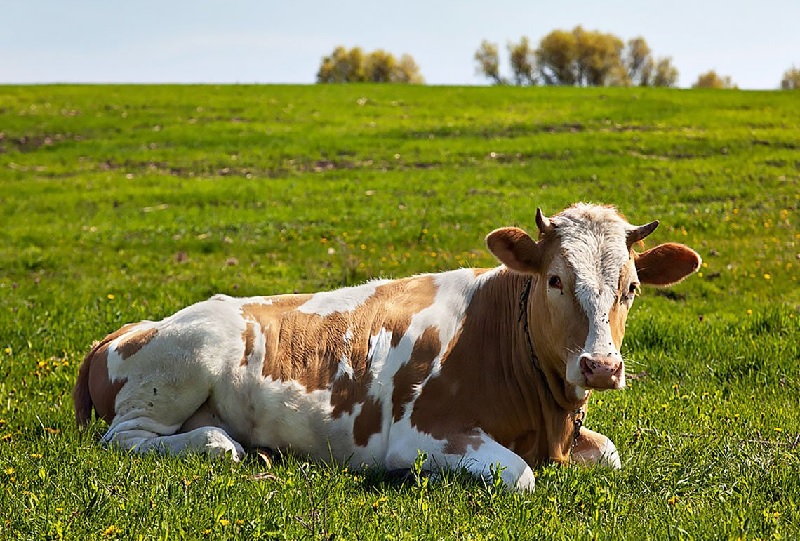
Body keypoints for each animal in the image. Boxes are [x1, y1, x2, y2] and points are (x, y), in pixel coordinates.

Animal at [73, 202, 700, 490]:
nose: (601, 366)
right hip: (184, 364)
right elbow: (520, 475)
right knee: (131, 439)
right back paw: (225, 442)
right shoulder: (423, 434)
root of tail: (125, 330)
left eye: (631, 288)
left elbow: (611, 452)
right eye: (554, 280)